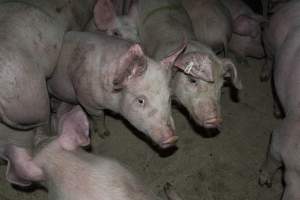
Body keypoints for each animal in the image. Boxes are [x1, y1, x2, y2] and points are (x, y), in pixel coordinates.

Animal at [47, 30, 185, 148]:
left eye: (169, 98)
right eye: (140, 100)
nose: (173, 138)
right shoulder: (86, 99)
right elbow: (98, 116)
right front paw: (105, 134)